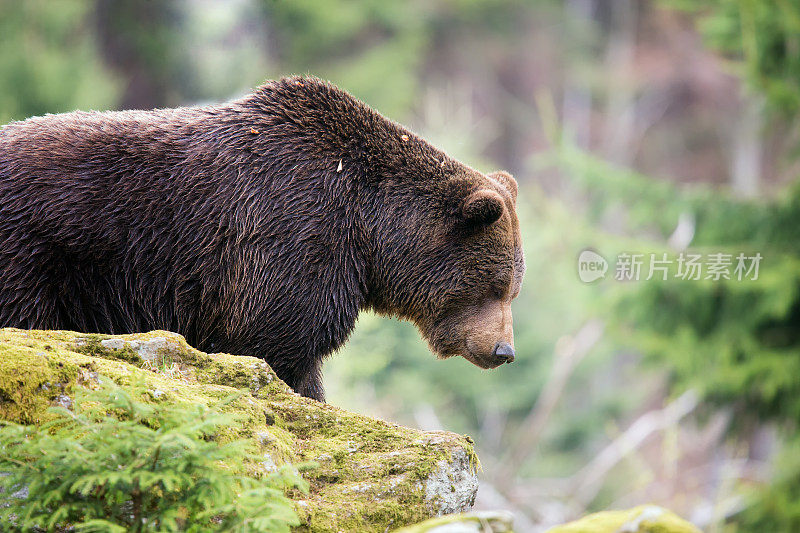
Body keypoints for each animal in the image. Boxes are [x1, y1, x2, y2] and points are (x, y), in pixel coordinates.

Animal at [0, 75, 520, 400]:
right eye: (494, 286)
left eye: (513, 290)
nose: (504, 351)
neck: (368, 229)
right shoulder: (291, 231)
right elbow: (276, 341)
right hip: (35, 249)